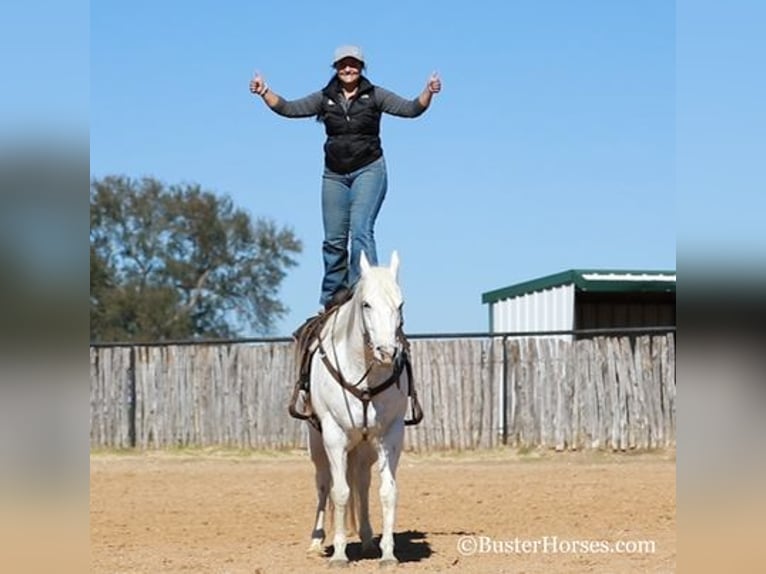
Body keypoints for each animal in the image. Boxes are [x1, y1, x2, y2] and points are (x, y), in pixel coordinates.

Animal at [308, 251, 414, 568]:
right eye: (366, 303)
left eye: (400, 304)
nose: (387, 352)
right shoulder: (333, 435)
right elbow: (340, 492)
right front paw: (339, 554)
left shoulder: (391, 433)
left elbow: (387, 492)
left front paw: (388, 553)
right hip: (316, 442)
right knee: (323, 484)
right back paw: (316, 541)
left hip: (365, 446)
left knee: (363, 483)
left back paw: (367, 540)